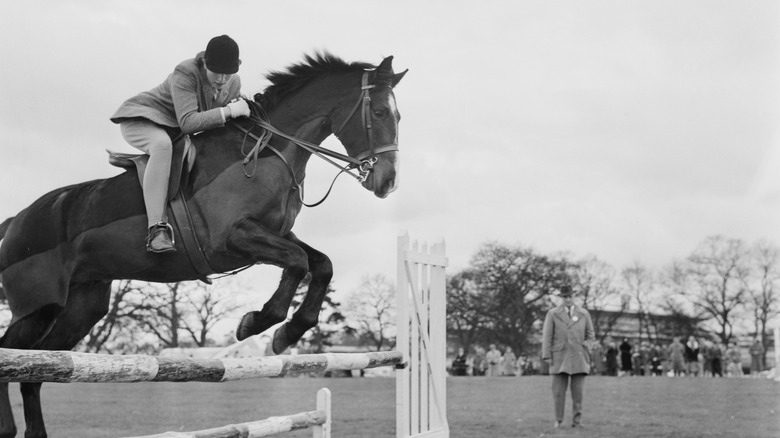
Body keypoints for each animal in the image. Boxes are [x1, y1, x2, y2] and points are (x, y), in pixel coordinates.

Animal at [1, 52, 408, 438]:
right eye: (379, 112)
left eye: (399, 115)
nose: (387, 182)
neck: (265, 151)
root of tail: (16, 220)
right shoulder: (234, 237)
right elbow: (297, 263)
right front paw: (256, 323)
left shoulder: (273, 234)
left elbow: (321, 264)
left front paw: (287, 334)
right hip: (37, 307)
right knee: (14, 356)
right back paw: (8, 428)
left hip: (81, 308)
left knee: (35, 369)